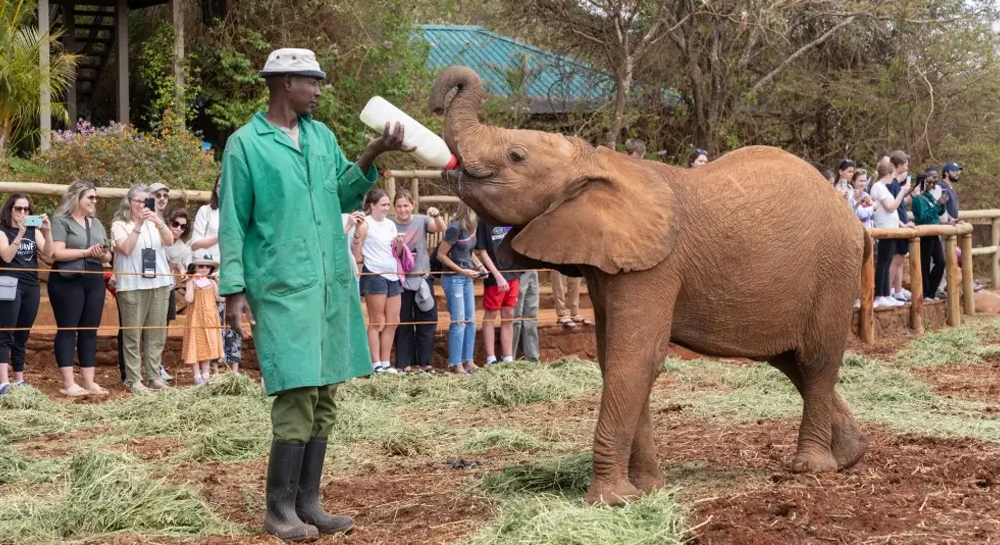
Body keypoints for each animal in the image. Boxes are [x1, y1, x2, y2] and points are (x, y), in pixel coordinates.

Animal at [428, 66, 872, 506]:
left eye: (516, 156)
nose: (437, 97)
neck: (597, 162)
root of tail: (852, 217)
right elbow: (613, 359)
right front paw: (646, 490)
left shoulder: (655, 266)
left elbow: (636, 358)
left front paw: (609, 501)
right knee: (788, 360)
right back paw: (851, 455)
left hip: (833, 269)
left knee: (815, 360)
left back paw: (812, 467)